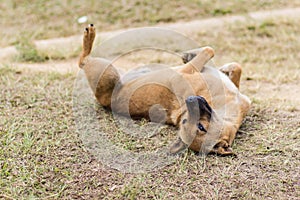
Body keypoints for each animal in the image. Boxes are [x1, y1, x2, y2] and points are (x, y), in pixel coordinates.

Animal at [78, 24, 251, 155]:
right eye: (185, 121)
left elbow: (212, 53)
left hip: (108, 72)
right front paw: (192, 56)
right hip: (113, 71)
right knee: (83, 61)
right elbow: (226, 60)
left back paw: (89, 36)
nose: (190, 99)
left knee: (83, 62)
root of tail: (106, 101)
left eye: (201, 127)